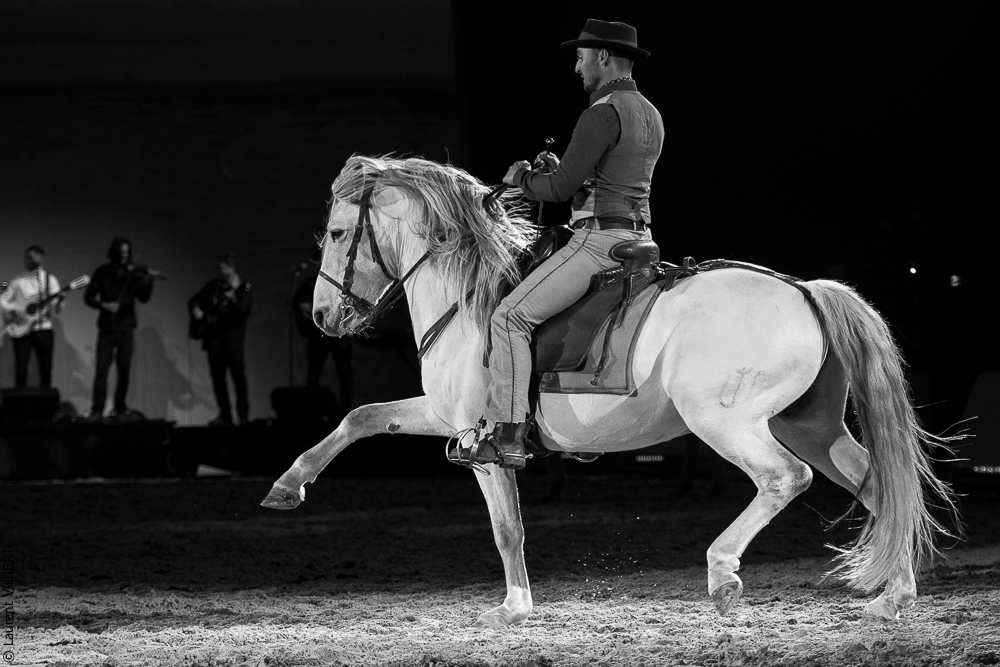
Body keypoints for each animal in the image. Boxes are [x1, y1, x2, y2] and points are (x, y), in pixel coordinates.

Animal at [261, 154, 958, 627]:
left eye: (337, 235)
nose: (321, 316)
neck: (469, 299)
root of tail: (806, 290)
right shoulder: (442, 414)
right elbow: (360, 416)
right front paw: (288, 486)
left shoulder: (480, 439)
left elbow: (507, 527)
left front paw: (514, 608)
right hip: (812, 425)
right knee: (878, 484)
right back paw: (894, 596)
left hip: (726, 422)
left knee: (786, 479)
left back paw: (723, 574)